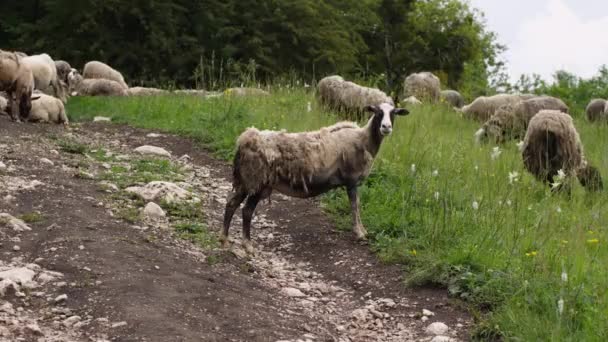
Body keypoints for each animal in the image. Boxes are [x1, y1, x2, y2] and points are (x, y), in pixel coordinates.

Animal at [221, 101, 410, 251]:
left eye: (394, 112)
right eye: (377, 112)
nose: (386, 127)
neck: (363, 139)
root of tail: (244, 140)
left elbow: (357, 205)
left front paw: (362, 230)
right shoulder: (351, 180)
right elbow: (355, 205)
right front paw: (359, 232)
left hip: (246, 181)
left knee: (231, 204)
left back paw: (224, 239)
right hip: (257, 181)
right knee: (246, 210)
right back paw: (247, 245)